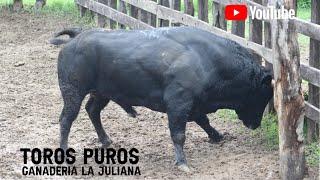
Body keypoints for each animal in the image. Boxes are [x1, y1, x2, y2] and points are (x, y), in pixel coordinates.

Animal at [50, 27, 272, 172]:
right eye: (263, 95)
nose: (256, 124)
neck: (207, 59)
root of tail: (78, 36)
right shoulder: (178, 104)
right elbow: (179, 134)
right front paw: (182, 163)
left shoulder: (194, 104)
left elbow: (204, 121)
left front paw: (217, 136)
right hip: (73, 93)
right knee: (66, 119)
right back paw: (65, 153)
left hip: (102, 93)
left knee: (92, 110)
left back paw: (106, 140)